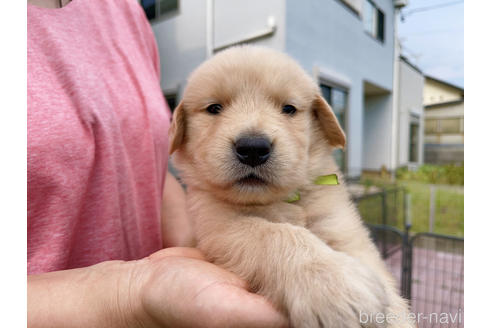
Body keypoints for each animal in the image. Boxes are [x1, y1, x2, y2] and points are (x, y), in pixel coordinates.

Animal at [168, 45, 412, 328]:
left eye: (288, 109)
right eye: (214, 108)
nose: (253, 148)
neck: (278, 200)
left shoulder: (342, 228)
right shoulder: (217, 226)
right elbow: (273, 233)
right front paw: (333, 282)